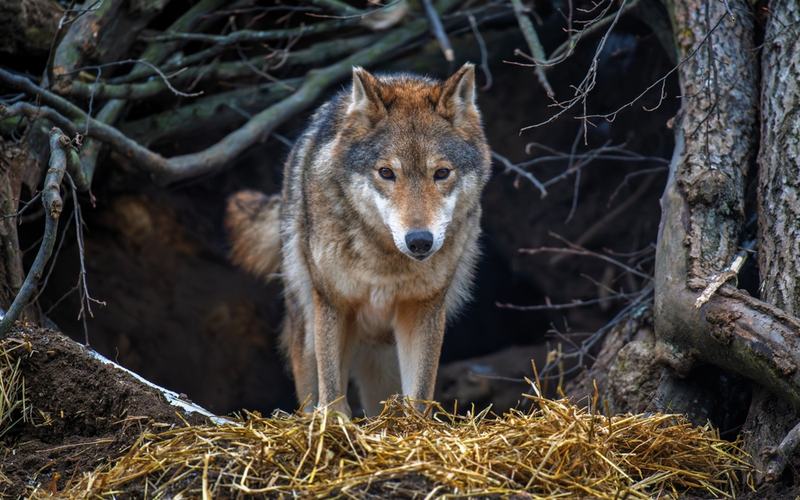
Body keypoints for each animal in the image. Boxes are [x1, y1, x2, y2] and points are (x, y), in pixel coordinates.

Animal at [226, 63, 491, 416]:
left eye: (442, 173)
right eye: (386, 173)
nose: (420, 241)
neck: (385, 262)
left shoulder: (423, 308)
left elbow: (420, 391)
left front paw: (414, 425)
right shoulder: (333, 302)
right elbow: (331, 386)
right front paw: (333, 422)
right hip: (307, 321)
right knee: (310, 385)